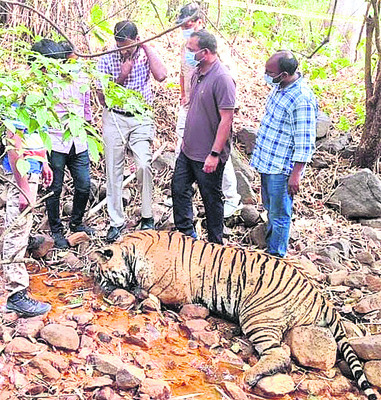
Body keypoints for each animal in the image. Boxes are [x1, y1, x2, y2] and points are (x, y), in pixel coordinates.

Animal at [94, 228, 374, 400]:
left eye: (101, 273)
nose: (98, 284)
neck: (135, 250)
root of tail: (320, 294)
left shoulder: (174, 292)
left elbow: (144, 290)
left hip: (256, 316)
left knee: (280, 353)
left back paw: (249, 377)